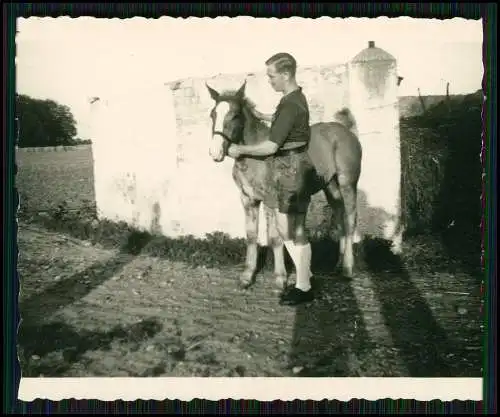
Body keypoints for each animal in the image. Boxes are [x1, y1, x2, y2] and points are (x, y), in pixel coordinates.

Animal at [205, 79, 362, 288]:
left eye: (236, 115)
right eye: (213, 114)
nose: (215, 153)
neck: (254, 156)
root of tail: (347, 131)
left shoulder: (271, 199)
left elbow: (275, 237)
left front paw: (280, 278)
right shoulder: (248, 199)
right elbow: (251, 235)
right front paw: (247, 276)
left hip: (347, 183)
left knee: (350, 219)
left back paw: (348, 268)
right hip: (331, 186)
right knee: (339, 216)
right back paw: (338, 264)